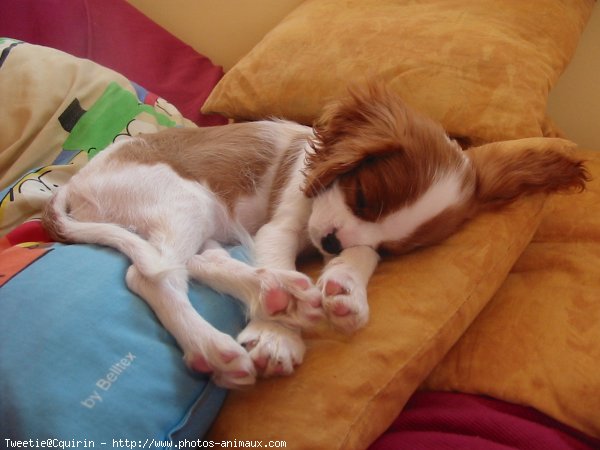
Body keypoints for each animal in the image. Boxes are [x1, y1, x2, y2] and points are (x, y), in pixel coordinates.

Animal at [41, 83, 584, 386]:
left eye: (391, 247)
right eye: (363, 196)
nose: (331, 247)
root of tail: (77, 184)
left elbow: (360, 259)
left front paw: (345, 288)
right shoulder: (284, 222)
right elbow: (278, 248)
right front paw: (276, 339)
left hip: (205, 223)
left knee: (201, 262)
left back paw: (282, 295)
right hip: (185, 200)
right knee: (153, 276)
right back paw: (222, 342)